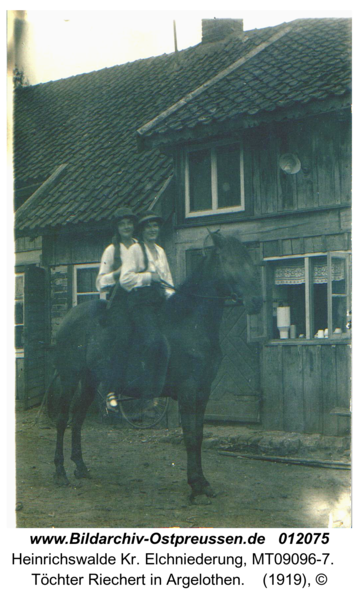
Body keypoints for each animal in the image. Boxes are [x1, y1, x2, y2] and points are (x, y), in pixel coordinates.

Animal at [50, 232, 264, 500]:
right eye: (231, 261)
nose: (257, 301)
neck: (189, 321)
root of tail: (69, 318)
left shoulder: (203, 391)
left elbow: (199, 435)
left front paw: (203, 483)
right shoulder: (189, 391)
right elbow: (190, 436)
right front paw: (195, 485)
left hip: (89, 380)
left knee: (77, 419)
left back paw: (80, 467)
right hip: (69, 378)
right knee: (61, 420)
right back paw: (60, 473)